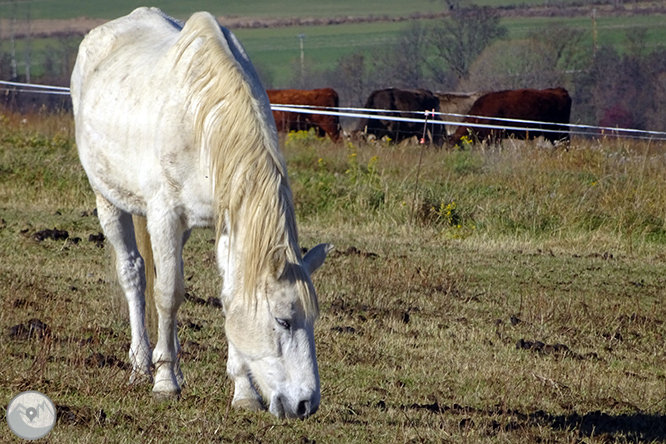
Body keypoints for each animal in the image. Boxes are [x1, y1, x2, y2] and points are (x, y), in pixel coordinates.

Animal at [70, 7, 330, 420]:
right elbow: (167, 294)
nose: (305, 404)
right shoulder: (164, 216)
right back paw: (142, 365)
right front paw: (165, 383)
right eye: (283, 321)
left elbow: (229, 296)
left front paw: (243, 392)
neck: (203, 119)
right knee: (134, 274)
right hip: (107, 200)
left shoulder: (228, 223)